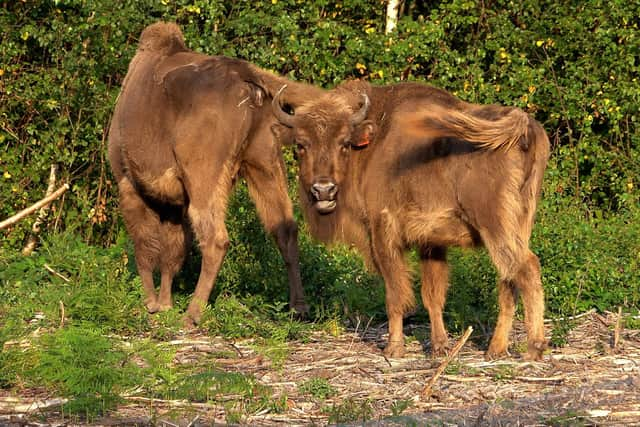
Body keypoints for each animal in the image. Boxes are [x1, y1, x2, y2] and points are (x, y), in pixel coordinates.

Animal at [109, 22, 324, 324]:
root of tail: (248, 76)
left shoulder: (129, 182)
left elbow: (145, 246)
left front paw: (152, 303)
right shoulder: (174, 203)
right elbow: (172, 252)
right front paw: (164, 303)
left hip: (205, 177)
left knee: (216, 238)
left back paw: (192, 314)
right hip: (265, 162)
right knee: (285, 229)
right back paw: (299, 308)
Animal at [272, 80, 552, 362]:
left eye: (343, 143)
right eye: (300, 145)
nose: (323, 190)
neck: (373, 142)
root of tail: (524, 125)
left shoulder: (383, 232)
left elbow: (395, 294)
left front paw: (394, 348)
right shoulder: (432, 242)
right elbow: (432, 295)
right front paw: (440, 347)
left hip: (495, 225)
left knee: (526, 268)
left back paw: (534, 348)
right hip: (520, 225)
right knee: (509, 280)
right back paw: (495, 349)